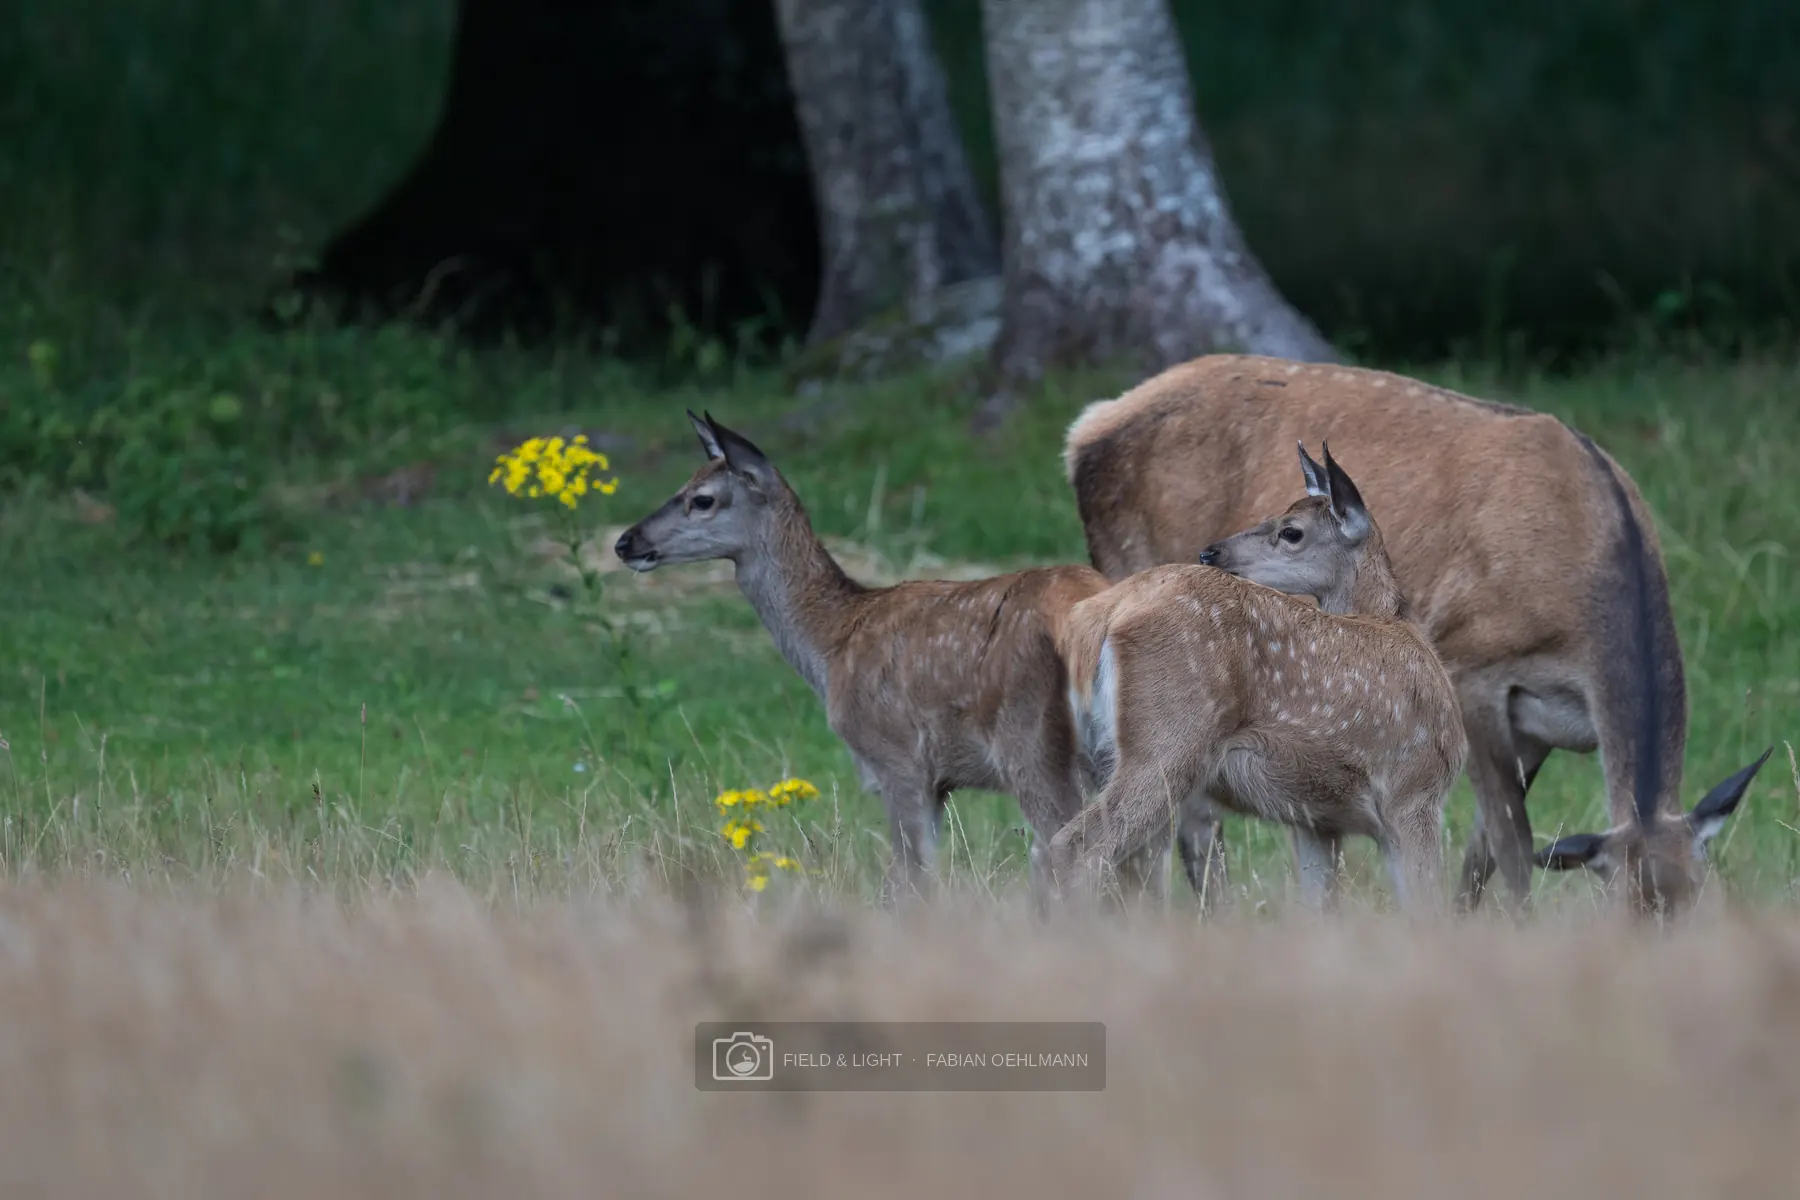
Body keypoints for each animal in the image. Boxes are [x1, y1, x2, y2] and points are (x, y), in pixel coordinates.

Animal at [612, 411, 1130, 909]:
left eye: (702, 499)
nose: (625, 542)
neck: (833, 645)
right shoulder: (936, 780)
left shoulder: (897, 759)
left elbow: (908, 882)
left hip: (1029, 740)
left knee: (1070, 846)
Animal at [1050, 443, 1466, 917]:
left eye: (1291, 531)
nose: (1210, 552)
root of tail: (1104, 613)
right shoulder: (1415, 789)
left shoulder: (1315, 820)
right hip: (1166, 741)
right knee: (1076, 848)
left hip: (1105, 753)